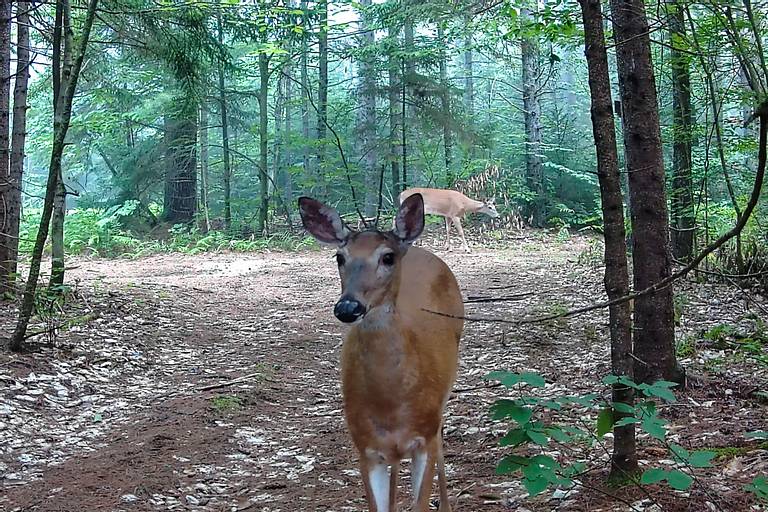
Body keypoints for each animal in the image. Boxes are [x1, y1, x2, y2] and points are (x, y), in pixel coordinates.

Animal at [298, 194, 464, 510]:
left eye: (387, 257)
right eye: (340, 257)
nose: (348, 307)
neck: (391, 405)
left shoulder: (423, 437)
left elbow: (421, 501)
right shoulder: (366, 447)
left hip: (444, 395)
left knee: (440, 441)